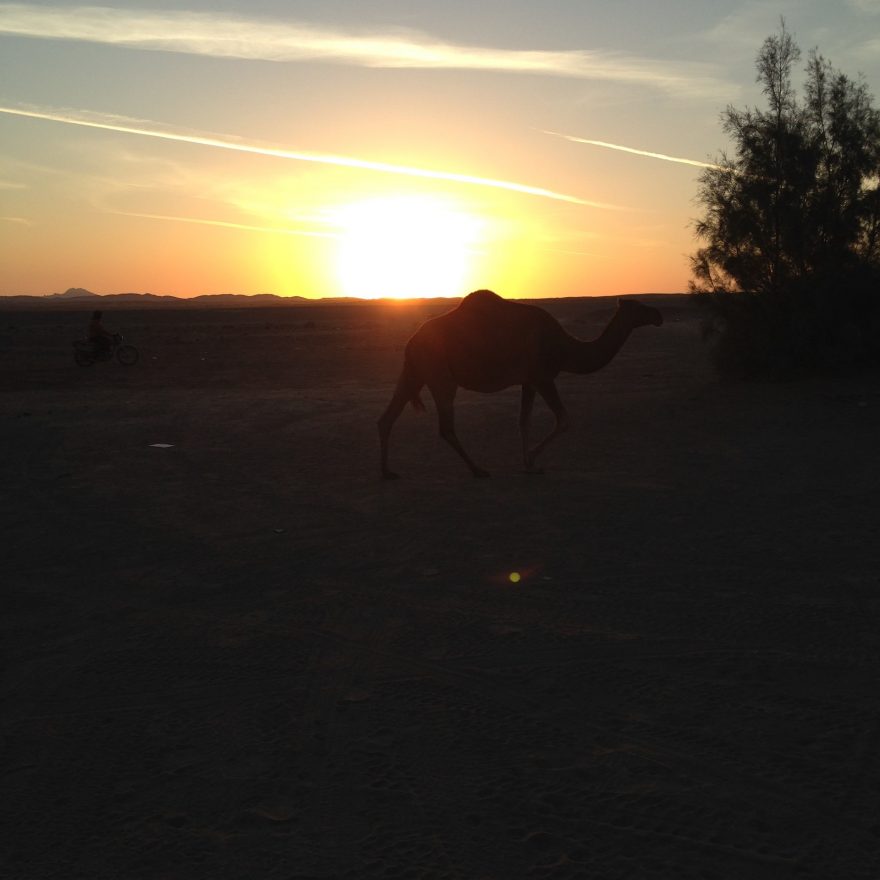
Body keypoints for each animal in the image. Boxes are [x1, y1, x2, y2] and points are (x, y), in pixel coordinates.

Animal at [378, 290, 660, 478]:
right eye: (639, 307)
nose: (658, 314)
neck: (565, 347)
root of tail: (411, 341)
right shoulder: (543, 377)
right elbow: (563, 420)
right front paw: (533, 458)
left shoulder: (529, 381)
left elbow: (524, 421)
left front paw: (529, 464)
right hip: (440, 373)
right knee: (445, 426)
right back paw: (478, 469)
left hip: (414, 371)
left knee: (388, 416)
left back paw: (387, 472)